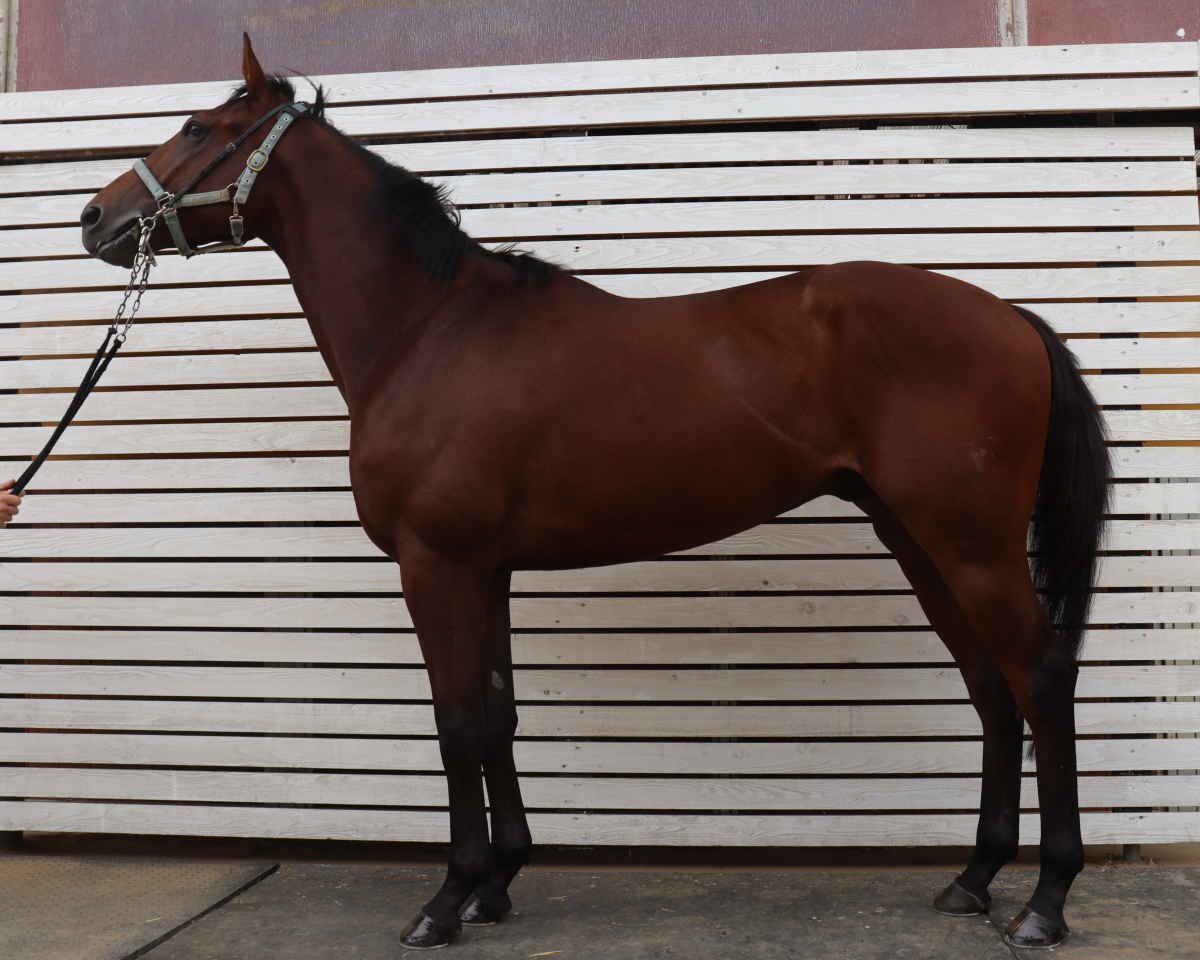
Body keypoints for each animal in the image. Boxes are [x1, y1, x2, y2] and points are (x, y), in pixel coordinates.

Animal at [80, 36, 1109, 951]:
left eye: (196, 125)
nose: (94, 218)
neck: (427, 329)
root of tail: (1011, 317)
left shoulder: (435, 566)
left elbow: (456, 722)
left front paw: (445, 902)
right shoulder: (483, 569)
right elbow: (498, 715)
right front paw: (496, 886)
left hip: (969, 547)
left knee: (1040, 678)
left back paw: (1046, 902)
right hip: (921, 541)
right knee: (992, 688)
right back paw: (973, 879)